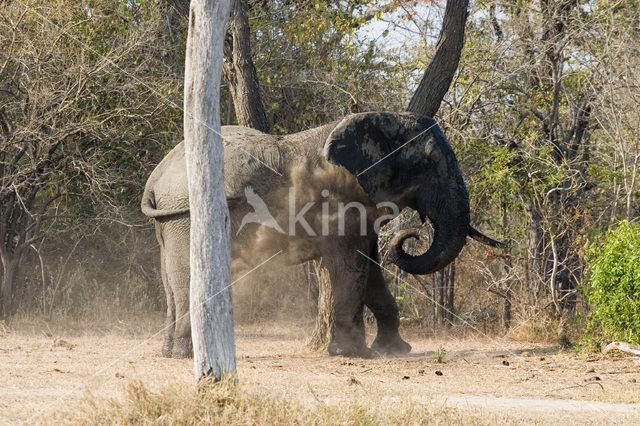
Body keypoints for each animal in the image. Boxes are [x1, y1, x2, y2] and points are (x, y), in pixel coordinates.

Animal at [142, 111, 502, 358]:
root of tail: (156, 179)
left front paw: (395, 351)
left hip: (171, 223)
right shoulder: (340, 202)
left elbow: (371, 270)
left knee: (170, 280)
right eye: (426, 165)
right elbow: (351, 266)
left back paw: (170, 353)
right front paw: (354, 354)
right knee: (188, 277)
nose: (413, 235)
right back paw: (186, 354)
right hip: (186, 216)